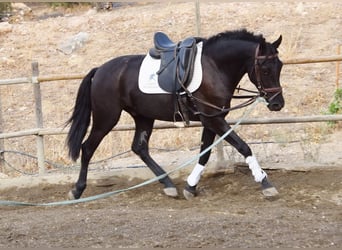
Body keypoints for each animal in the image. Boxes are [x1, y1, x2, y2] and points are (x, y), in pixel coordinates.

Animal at [65, 28, 284, 201]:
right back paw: (77, 190)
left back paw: (169, 185)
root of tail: (100, 70)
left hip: (143, 116)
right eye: (265, 69)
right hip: (106, 118)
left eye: (280, 66)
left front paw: (190, 187)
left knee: (139, 148)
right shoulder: (213, 118)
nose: (277, 104)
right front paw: (265, 183)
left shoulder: (211, 119)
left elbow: (205, 153)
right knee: (87, 148)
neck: (214, 67)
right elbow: (243, 147)